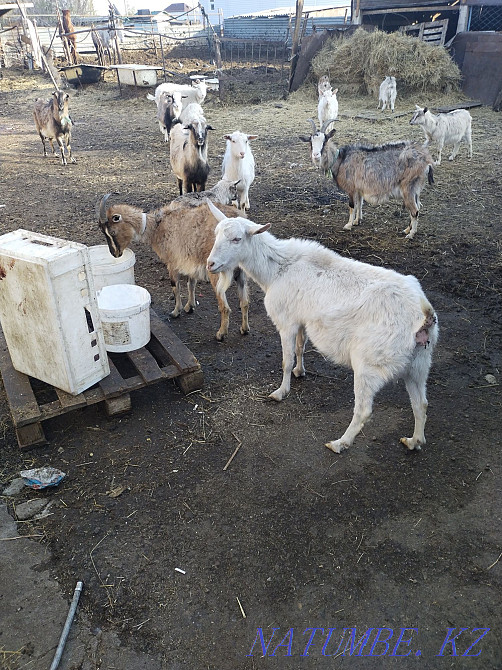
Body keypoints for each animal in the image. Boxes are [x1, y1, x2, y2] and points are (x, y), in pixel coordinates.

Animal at [97, 194, 250, 341]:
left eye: (113, 232)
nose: (115, 253)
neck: (157, 226)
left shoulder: (172, 263)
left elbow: (175, 286)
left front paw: (176, 312)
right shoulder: (190, 261)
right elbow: (191, 283)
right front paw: (190, 306)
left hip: (216, 270)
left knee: (225, 307)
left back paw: (221, 334)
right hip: (242, 272)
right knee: (245, 302)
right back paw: (244, 329)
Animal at [206, 199, 438, 454]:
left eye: (237, 239)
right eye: (216, 234)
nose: (211, 264)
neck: (278, 269)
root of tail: (424, 313)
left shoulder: (287, 322)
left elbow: (286, 360)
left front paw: (280, 392)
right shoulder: (302, 320)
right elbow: (300, 348)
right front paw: (300, 371)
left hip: (370, 364)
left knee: (364, 410)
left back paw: (340, 443)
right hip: (419, 363)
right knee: (421, 404)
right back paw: (414, 441)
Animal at [299, 119, 434, 239]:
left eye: (325, 140)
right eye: (311, 142)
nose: (316, 155)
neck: (341, 159)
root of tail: (426, 160)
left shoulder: (351, 188)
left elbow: (352, 205)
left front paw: (348, 225)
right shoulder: (359, 188)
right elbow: (360, 204)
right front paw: (357, 221)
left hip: (408, 187)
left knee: (415, 210)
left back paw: (411, 234)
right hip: (416, 189)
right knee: (417, 207)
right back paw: (406, 230)